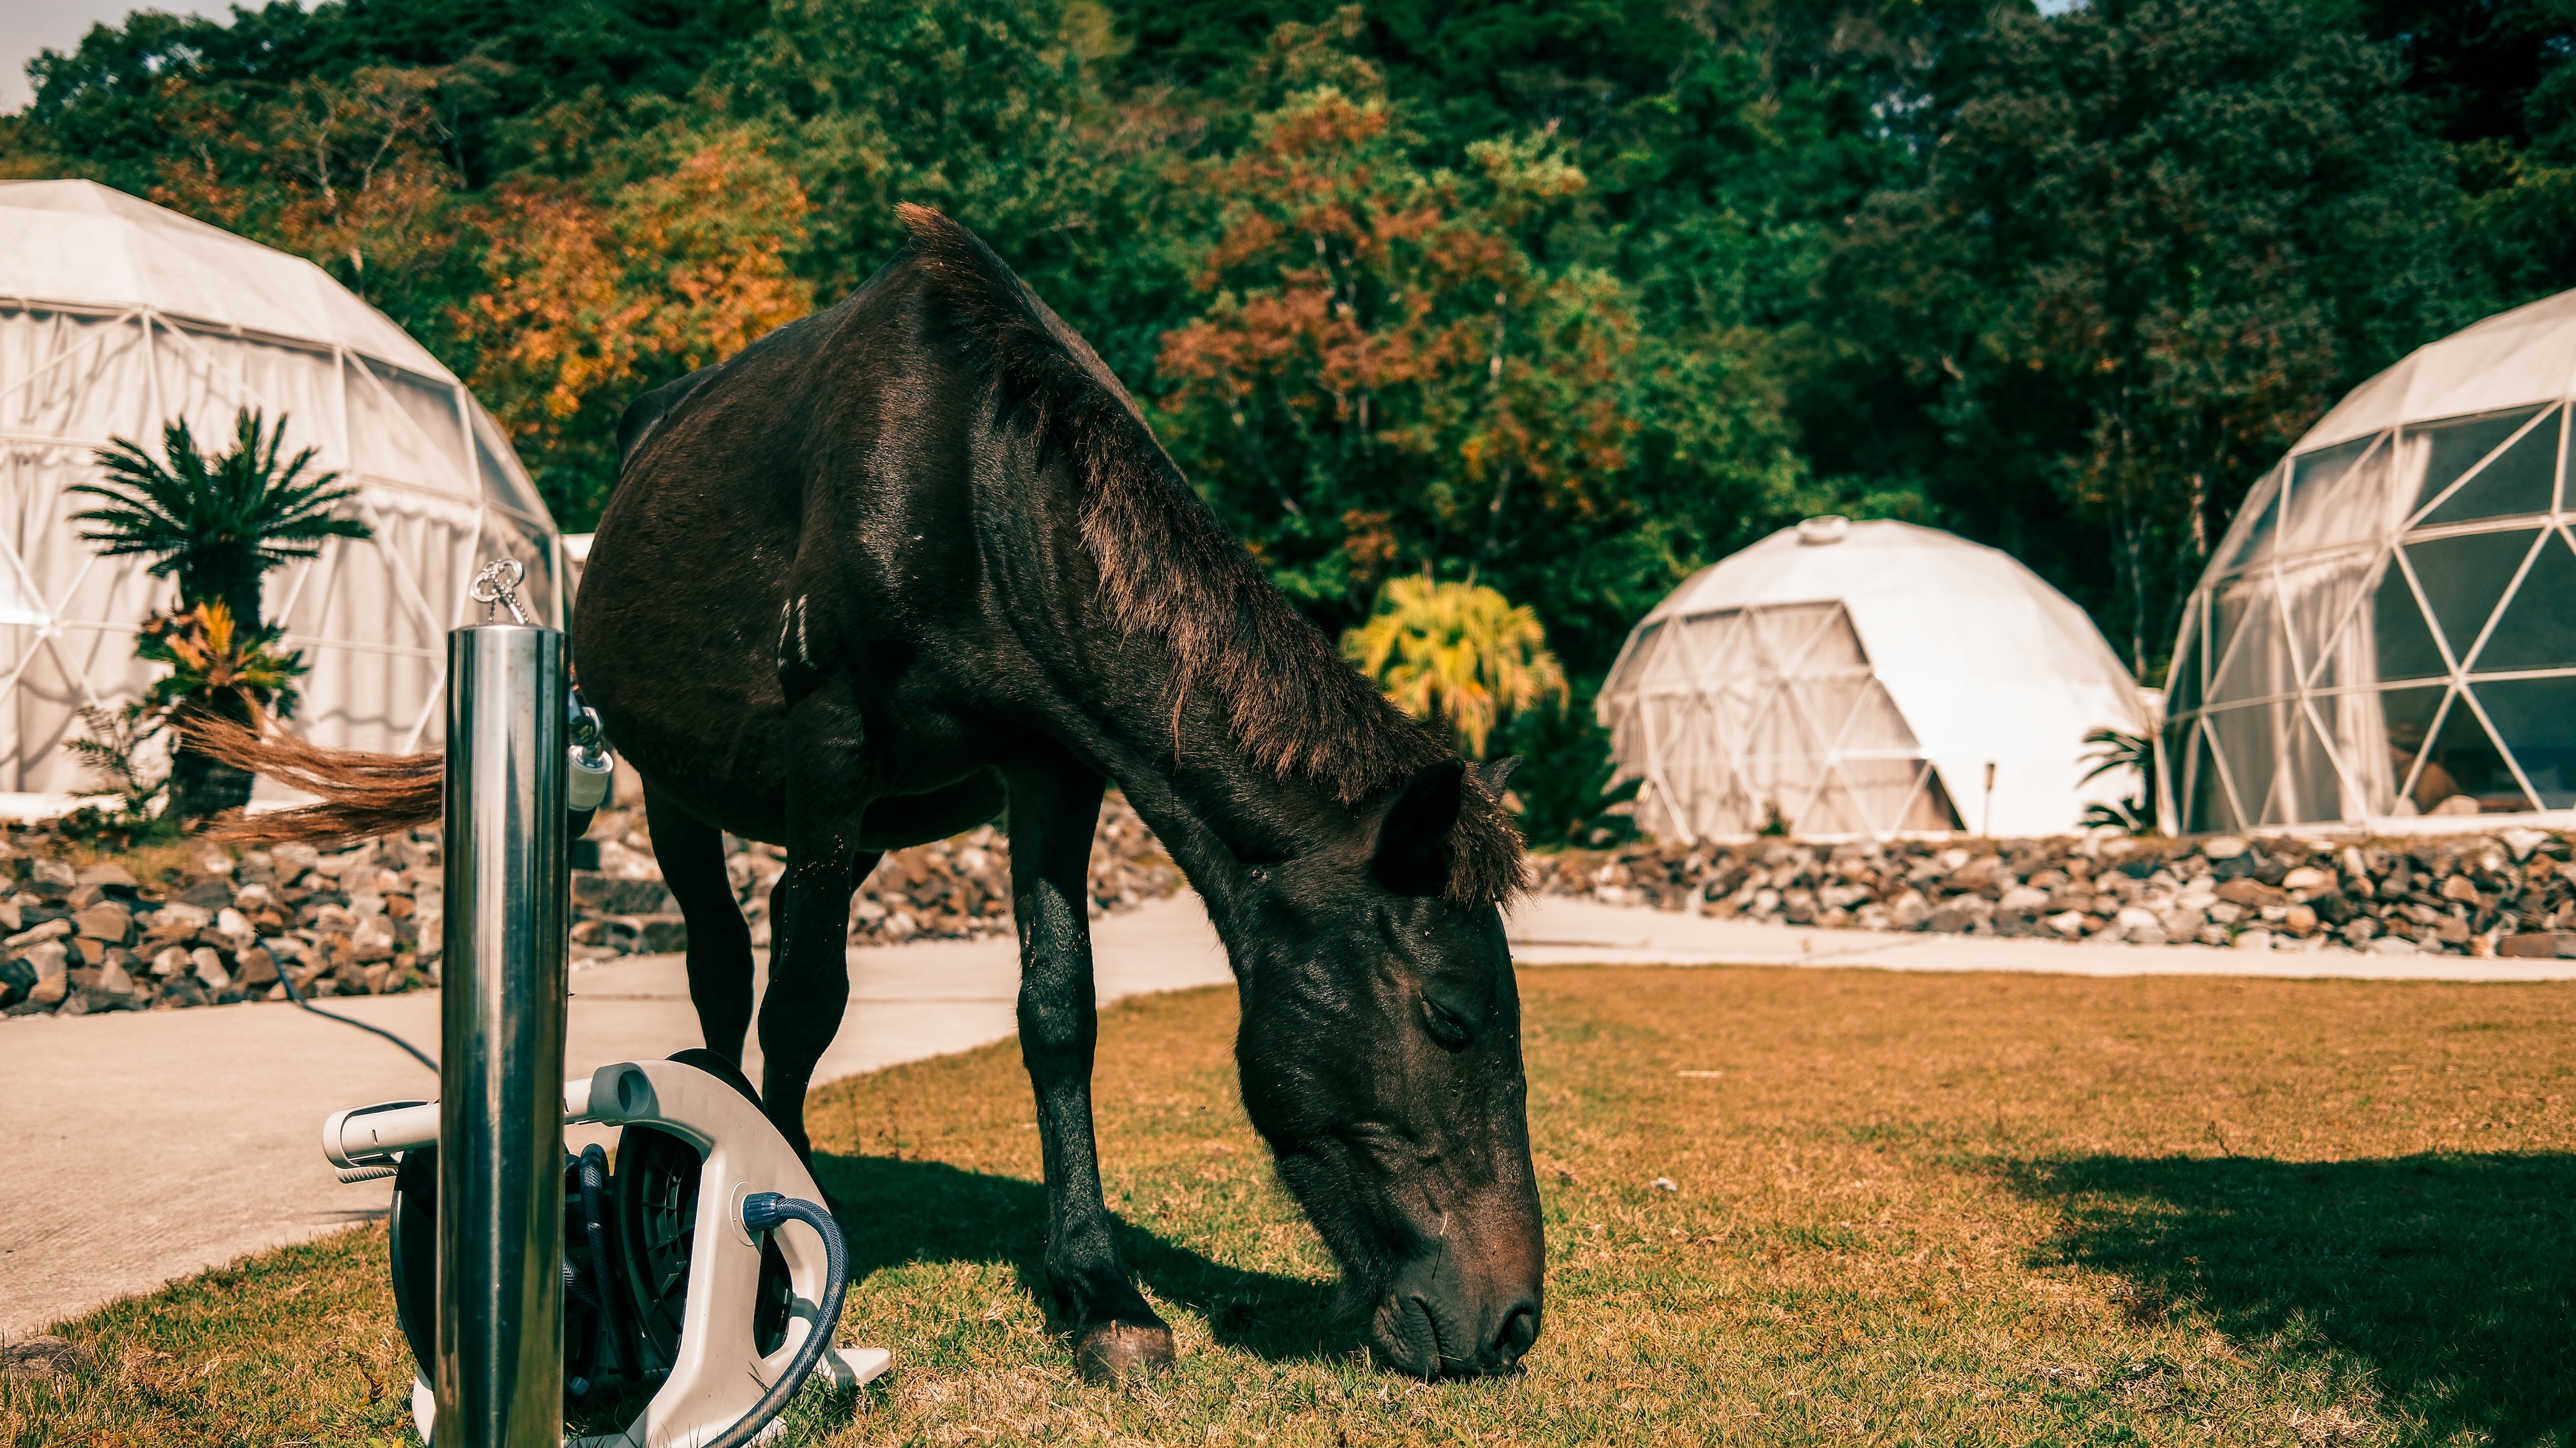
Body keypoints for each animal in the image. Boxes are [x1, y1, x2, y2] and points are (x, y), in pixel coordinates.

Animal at [219, 205, 1544, 1383]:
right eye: (1450, 1021)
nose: (1511, 1320)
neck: (969, 480)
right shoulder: (829, 747)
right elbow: (803, 1000)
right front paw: (770, 1244)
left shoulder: (1050, 767)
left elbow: (1058, 1013)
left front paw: (1099, 1291)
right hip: (678, 794)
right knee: (726, 969)